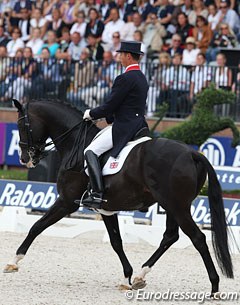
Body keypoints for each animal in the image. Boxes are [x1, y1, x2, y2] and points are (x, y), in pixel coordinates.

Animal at [3, 99, 232, 294]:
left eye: (22, 125)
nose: (25, 159)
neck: (75, 144)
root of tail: (192, 153)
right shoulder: (106, 208)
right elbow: (116, 242)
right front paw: (126, 278)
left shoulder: (66, 202)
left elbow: (37, 226)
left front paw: (13, 261)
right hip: (171, 206)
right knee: (170, 236)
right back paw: (140, 276)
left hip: (177, 206)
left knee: (198, 238)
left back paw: (214, 287)